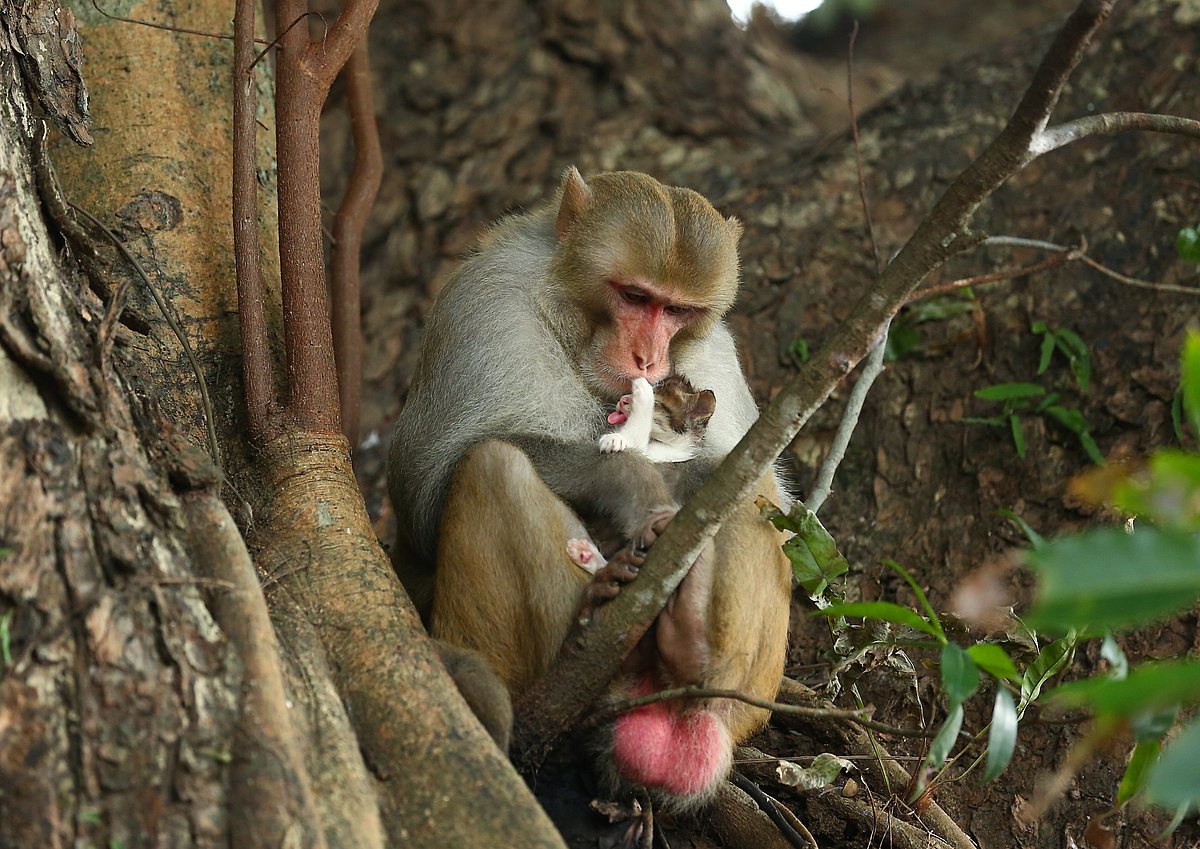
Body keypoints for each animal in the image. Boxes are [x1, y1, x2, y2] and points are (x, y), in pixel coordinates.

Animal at [387, 168, 791, 809]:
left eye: (677, 310)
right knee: (493, 466)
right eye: (635, 297)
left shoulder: (715, 355)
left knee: (750, 494)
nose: (647, 359)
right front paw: (633, 484)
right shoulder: (485, 309)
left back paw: (688, 655)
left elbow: (763, 485)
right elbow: (426, 494)